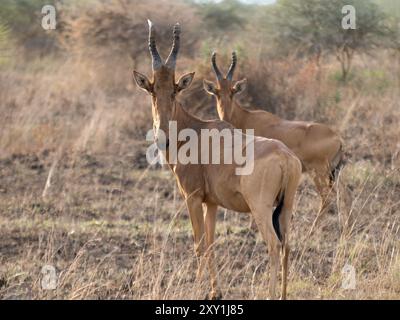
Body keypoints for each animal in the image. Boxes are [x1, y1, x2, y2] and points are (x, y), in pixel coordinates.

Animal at [133, 21, 302, 298]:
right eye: (152, 91)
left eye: (175, 91)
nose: (162, 138)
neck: (196, 130)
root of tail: (285, 158)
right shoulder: (211, 202)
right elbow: (211, 243)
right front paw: (215, 291)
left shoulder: (192, 197)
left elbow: (199, 244)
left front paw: (198, 288)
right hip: (286, 208)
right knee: (287, 245)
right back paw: (284, 294)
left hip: (261, 209)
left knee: (274, 245)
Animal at [203, 52, 344, 220]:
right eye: (217, 93)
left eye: (232, 92)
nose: (224, 119)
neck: (246, 117)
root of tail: (337, 138)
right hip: (333, 173)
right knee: (345, 195)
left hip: (319, 173)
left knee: (327, 199)